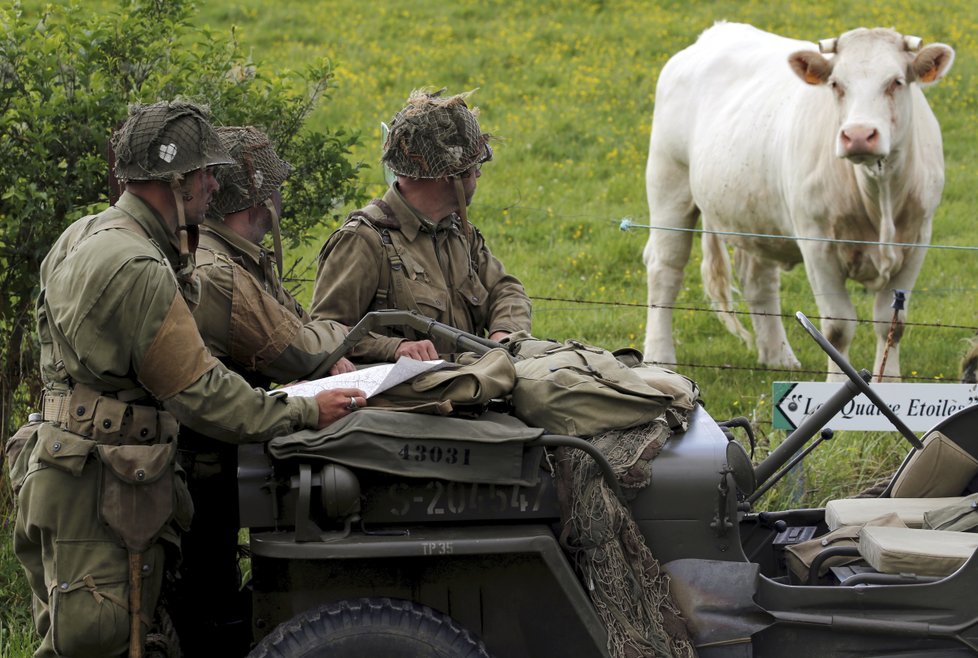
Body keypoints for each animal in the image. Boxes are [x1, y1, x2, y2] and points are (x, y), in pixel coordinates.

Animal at [640, 23, 952, 380]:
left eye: (896, 81)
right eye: (836, 84)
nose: (858, 135)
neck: (878, 195)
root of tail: (716, 31)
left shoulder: (917, 241)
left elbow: (891, 324)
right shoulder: (817, 244)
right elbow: (837, 326)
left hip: (755, 212)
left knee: (759, 281)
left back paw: (778, 356)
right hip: (669, 182)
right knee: (665, 269)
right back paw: (659, 357)